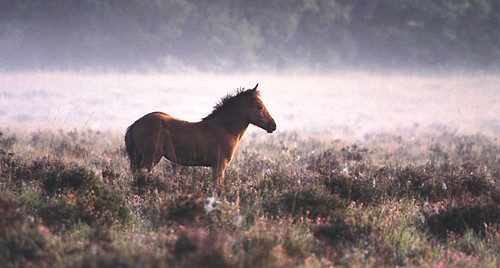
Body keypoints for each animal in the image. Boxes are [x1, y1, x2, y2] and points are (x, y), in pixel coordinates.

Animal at [123, 85, 276, 185]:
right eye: (259, 107)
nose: (273, 125)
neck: (225, 128)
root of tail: (136, 123)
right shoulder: (220, 164)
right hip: (151, 157)